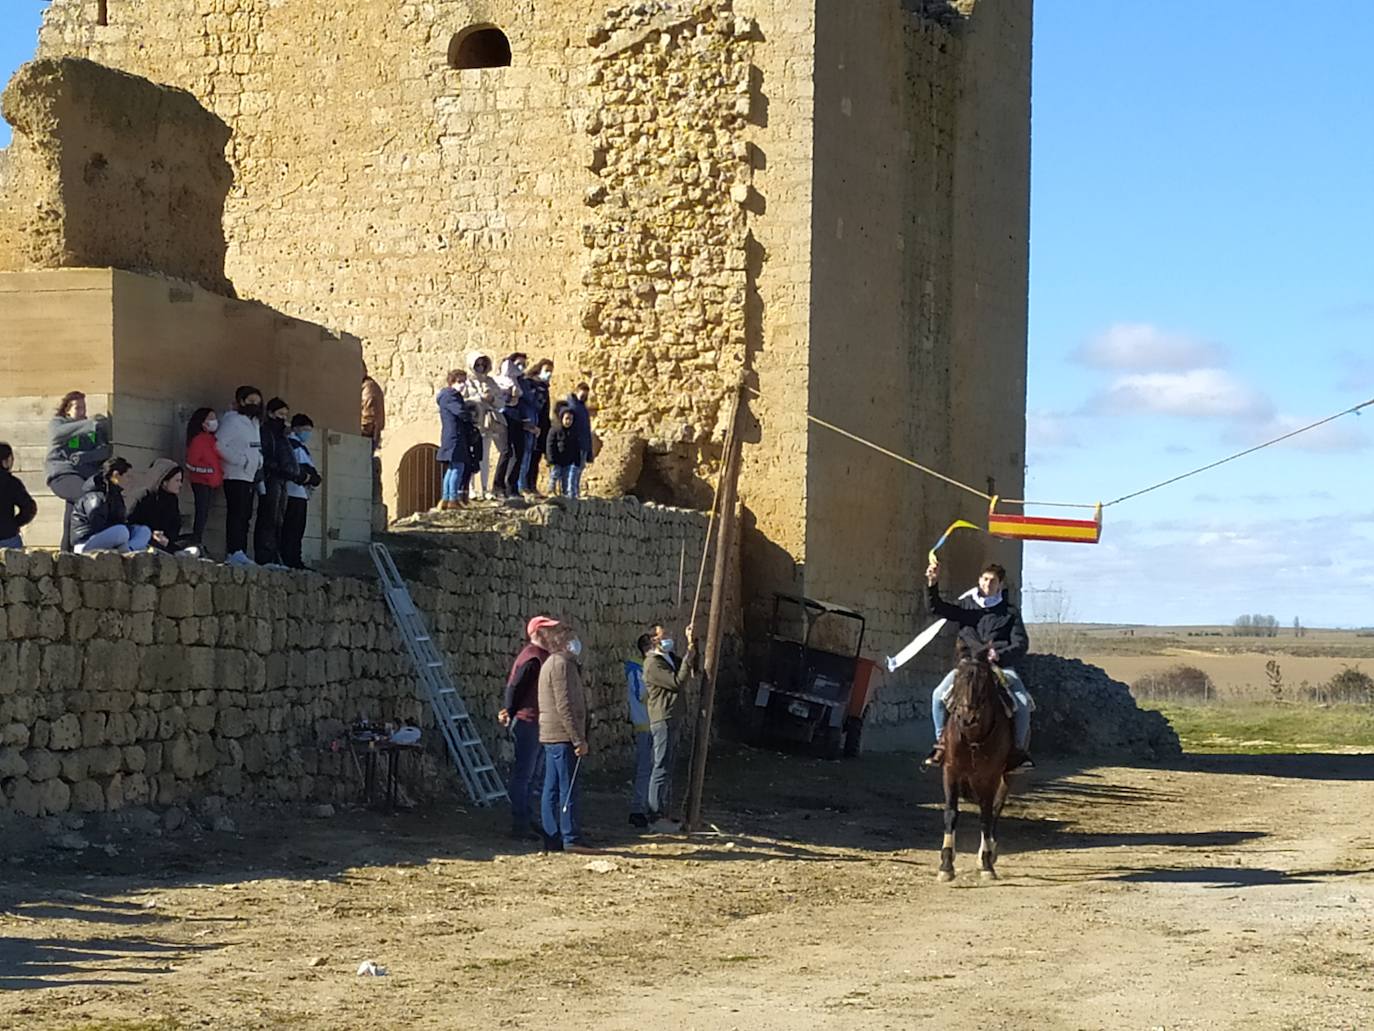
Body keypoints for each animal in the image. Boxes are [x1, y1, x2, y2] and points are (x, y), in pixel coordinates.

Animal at [939, 646, 1016, 879]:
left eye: (983, 680)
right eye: (957, 677)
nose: (967, 718)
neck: (973, 736)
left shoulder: (989, 777)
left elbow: (986, 816)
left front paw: (987, 863)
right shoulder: (951, 771)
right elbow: (951, 813)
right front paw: (946, 864)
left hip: (1005, 778)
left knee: (995, 811)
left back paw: (988, 853)